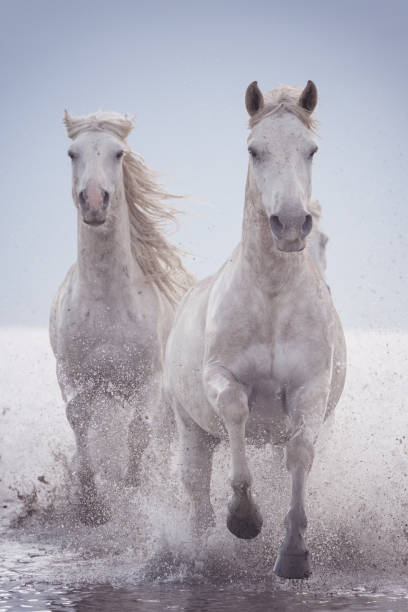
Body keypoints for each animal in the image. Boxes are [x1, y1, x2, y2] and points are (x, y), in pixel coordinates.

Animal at [49, 111, 193, 524]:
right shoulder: (73, 375)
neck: (106, 303)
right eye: (72, 153)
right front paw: (90, 504)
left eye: (118, 153)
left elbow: (140, 431)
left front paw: (133, 487)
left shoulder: (148, 380)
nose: (95, 202)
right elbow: (79, 418)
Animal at [164, 80, 346, 580]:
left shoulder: (311, 389)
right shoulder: (220, 377)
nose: (290, 224)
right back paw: (202, 550)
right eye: (254, 150)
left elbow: (300, 453)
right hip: (191, 429)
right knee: (196, 487)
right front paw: (244, 520)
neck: (271, 297)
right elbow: (236, 412)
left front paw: (294, 555)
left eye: (311, 149)